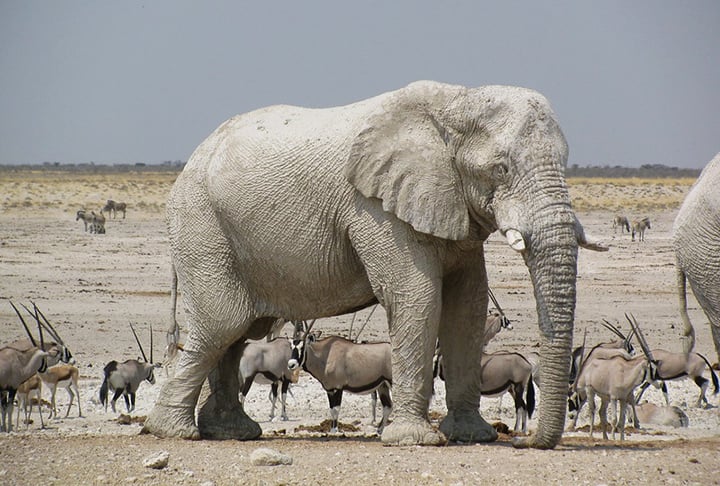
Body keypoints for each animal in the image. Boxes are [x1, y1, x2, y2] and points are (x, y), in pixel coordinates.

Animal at [142, 80, 607, 449]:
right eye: (501, 168)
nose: (525, 441)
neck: (456, 101)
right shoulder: (375, 207)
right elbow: (417, 296)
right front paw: (415, 441)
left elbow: (466, 307)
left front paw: (472, 436)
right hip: (202, 226)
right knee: (220, 326)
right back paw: (175, 432)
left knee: (239, 334)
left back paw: (232, 432)